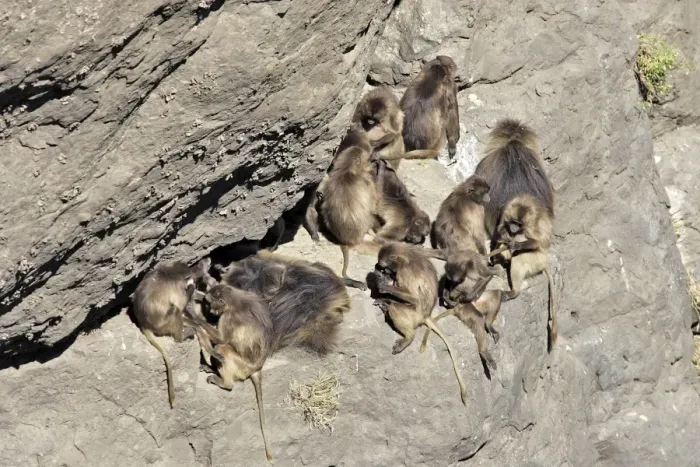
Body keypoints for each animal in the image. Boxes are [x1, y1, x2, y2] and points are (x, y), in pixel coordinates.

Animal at [131, 257, 215, 408]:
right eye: (203, 262)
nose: (208, 258)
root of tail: (144, 324)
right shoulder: (181, 286)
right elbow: (182, 303)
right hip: (164, 324)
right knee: (176, 310)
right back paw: (183, 336)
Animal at [371, 242, 468, 405]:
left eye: (385, 267)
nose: (386, 272)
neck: (406, 256)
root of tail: (426, 315)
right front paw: (383, 295)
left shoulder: (404, 271)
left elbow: (414, 298)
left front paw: (382, 286)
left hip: (414, 314)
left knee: (398, 308)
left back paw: (407, 336)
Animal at [493, 193, 557, 350]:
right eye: (513, 222)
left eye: (518, 223)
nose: (514, 227)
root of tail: (545, 261)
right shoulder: (506, 213)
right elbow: (501, 231)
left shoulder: (531, 223)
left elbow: (536, 241)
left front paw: (516, 244)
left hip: (537, 259)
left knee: (520, 254)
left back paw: (514, 291)